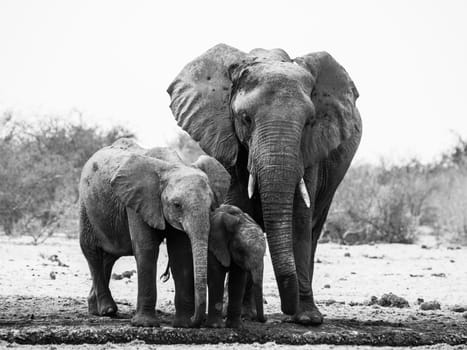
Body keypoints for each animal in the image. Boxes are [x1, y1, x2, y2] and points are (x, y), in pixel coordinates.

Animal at [79, 138, 231, 326]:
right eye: (177, 205)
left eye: (211, 206)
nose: (195, 320)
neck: (173, 165)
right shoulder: (137, 201)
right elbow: (147, 249)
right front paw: (145, 324)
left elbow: (180, 253)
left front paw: (183, 325)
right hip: (86, 207)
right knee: (92, 252)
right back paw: (107, 311)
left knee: (110, 256)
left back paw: (96, 309)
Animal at [168, 43, 362, 326]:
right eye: (245, 118)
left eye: (309, 122)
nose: (286, 310)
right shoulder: (228, 141)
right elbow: (241, 205)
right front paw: (241, 314)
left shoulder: (311, 149)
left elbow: (300, 217)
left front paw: (308, 319)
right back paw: (246, 312)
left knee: (314, 227)